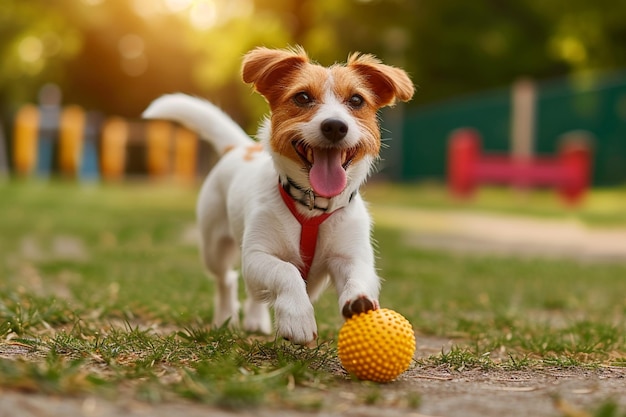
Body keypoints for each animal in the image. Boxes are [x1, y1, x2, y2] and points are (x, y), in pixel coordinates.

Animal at [143, 46, 412, 344]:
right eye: (302, 97)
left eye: (356, 100)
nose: (335, 126)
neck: (312, 206)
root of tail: (240, 148)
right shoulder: (257, 256)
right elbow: (287, 272)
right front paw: (297, 318)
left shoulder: (352, 257)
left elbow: (359, 277)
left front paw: (359, 301)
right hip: (215, 247)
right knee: (227, 280)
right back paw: (225, 318)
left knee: (255, 294)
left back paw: (255, 321)